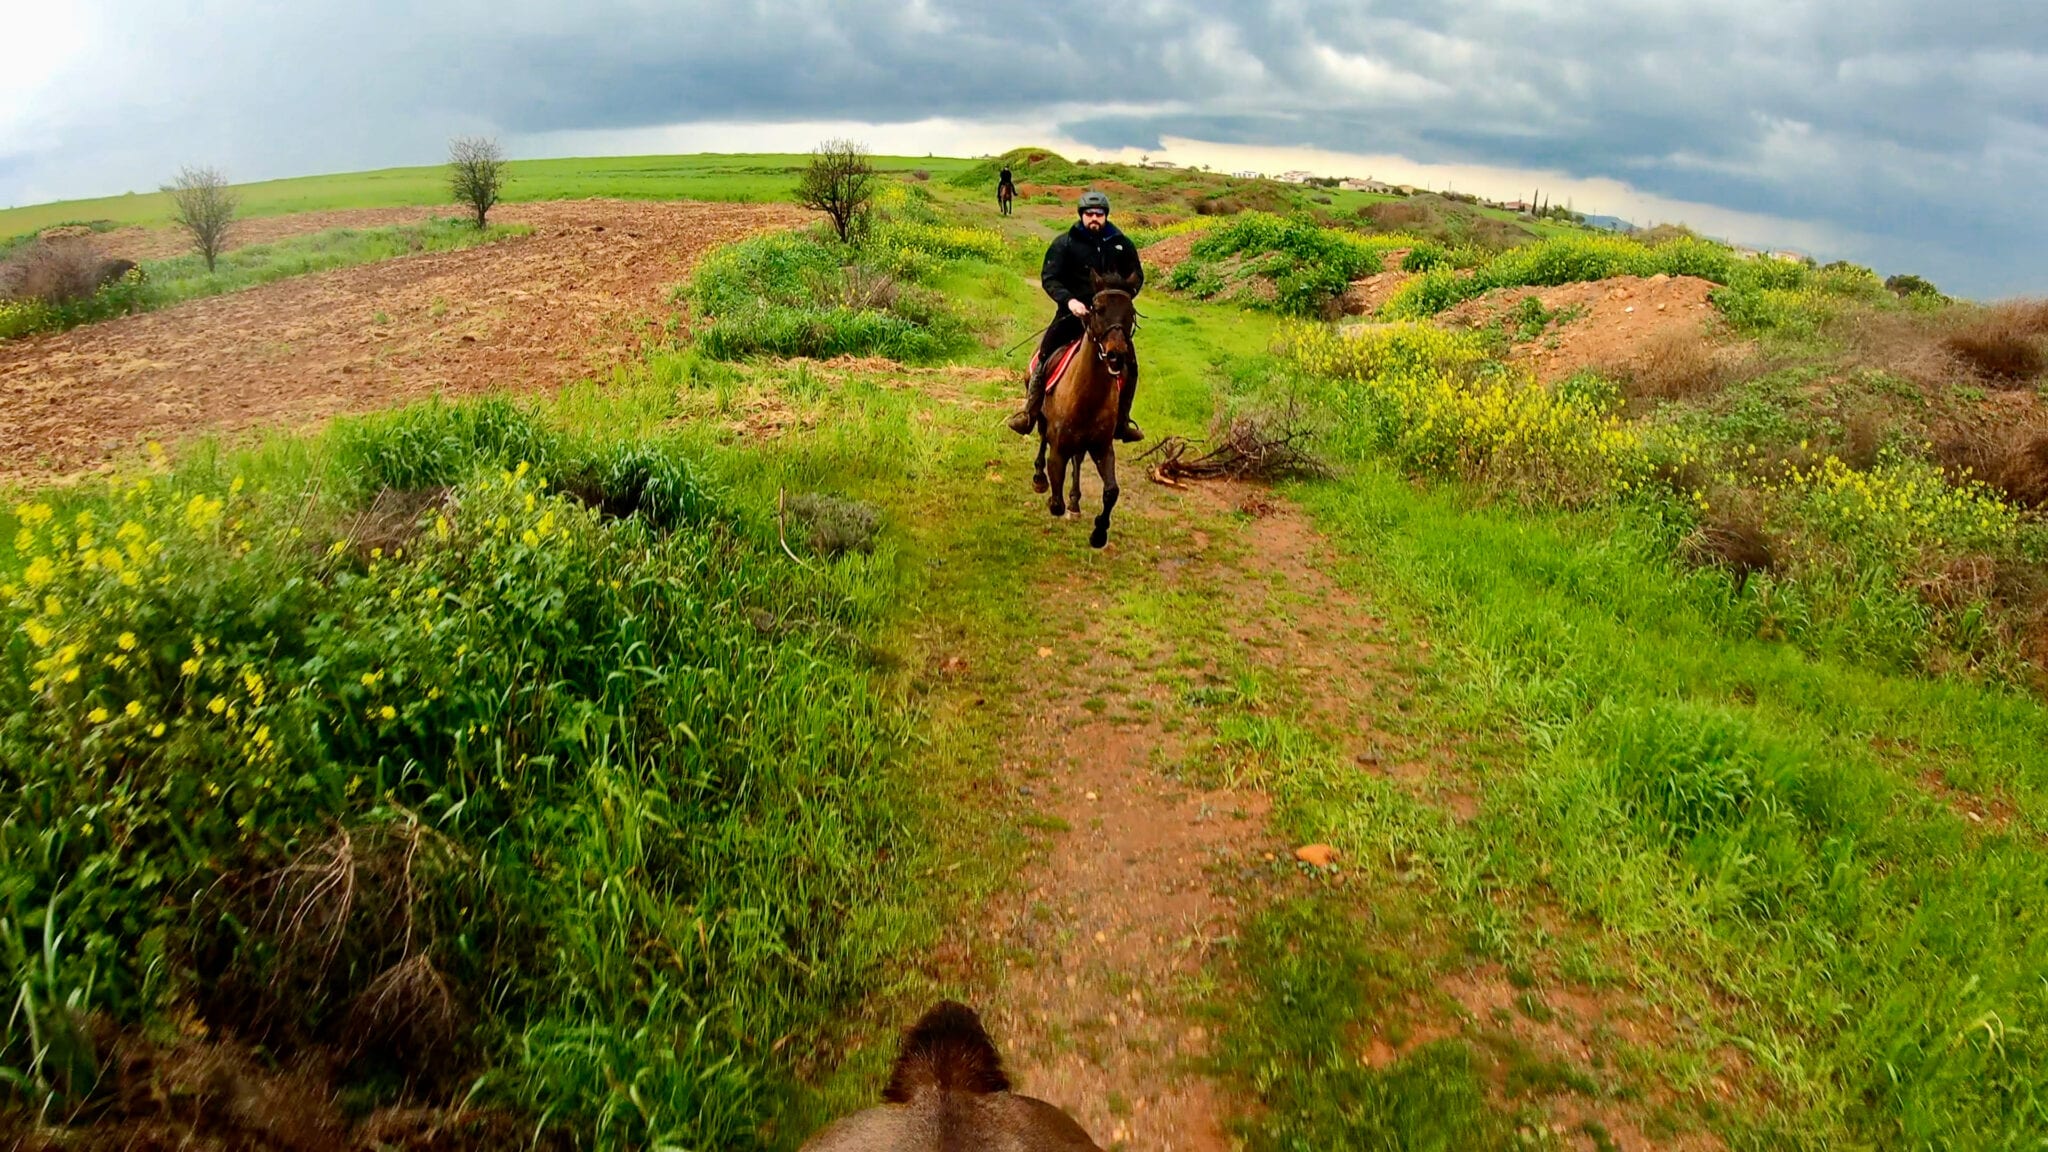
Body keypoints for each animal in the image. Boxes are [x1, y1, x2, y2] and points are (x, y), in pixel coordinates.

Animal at [1040, 276, 1138, 549]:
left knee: (1078, 460)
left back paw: (1075, 504)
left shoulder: (1102, 448)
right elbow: (1056, 494)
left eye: (1131, 312)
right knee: (1040, 438)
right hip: (1041, 419)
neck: (1087, 396)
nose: (1116, 355)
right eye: (1098, 309)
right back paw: (1038, 478)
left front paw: (1099, 532)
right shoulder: (1058, 447)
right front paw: (1054, 499)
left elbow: (1112, 491)